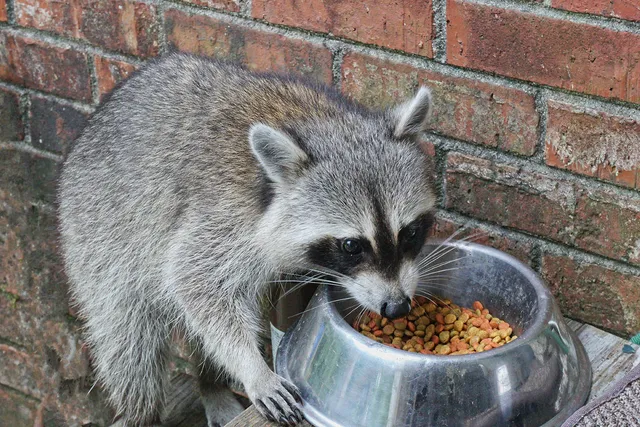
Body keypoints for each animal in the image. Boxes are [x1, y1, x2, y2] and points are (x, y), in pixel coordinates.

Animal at [58, 52, 436, 426]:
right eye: (351, 246)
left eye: (410, 232)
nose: (397, 307)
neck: (324, 122)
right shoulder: (221, 216)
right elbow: (194, 282)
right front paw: (254, 369)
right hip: (98, 237)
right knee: (129, 342)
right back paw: (142, 410)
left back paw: (209, 383)